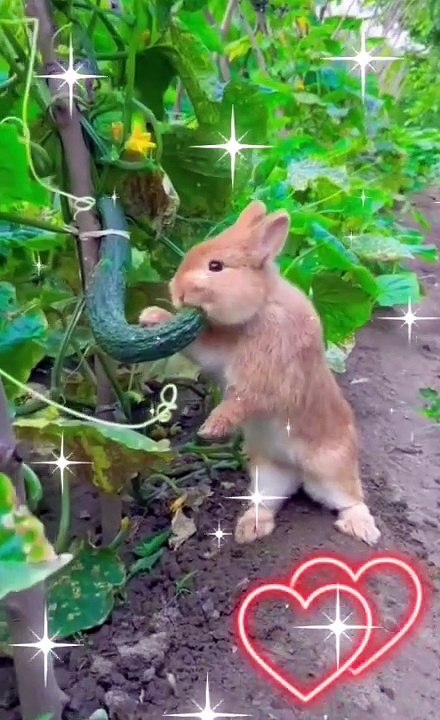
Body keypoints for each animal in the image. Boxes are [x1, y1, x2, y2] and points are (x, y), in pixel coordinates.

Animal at [139, 200, 381, 547]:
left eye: (216, 266)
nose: (177, 292)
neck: (261, 305)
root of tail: (297, 470)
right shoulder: (218, 353)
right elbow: (199, 347)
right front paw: (152, 316)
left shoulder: (264, 376)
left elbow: (241, 400)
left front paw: (211, 430)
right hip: (267, 474)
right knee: (266, 502)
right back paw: (248, 530)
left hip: (331, 470)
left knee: (351, 499)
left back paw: (362, 530)